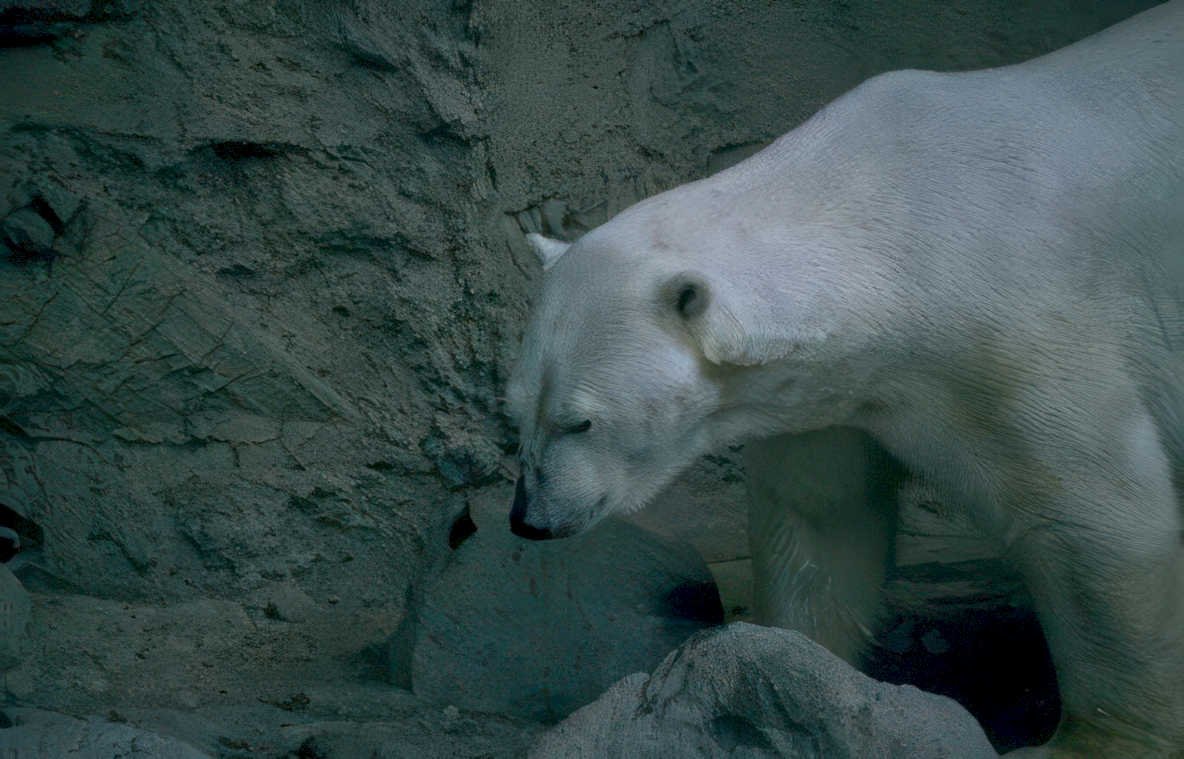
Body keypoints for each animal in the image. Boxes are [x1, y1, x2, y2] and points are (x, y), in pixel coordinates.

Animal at [505, 2, 1182, 756]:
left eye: (580, 420)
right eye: (515, 410)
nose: (529, 520)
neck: (905, 216)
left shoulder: (1022, 333)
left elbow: (1096, 520)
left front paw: (1086, 741)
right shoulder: (837, 391)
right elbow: (822, 518)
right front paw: (783, 672)